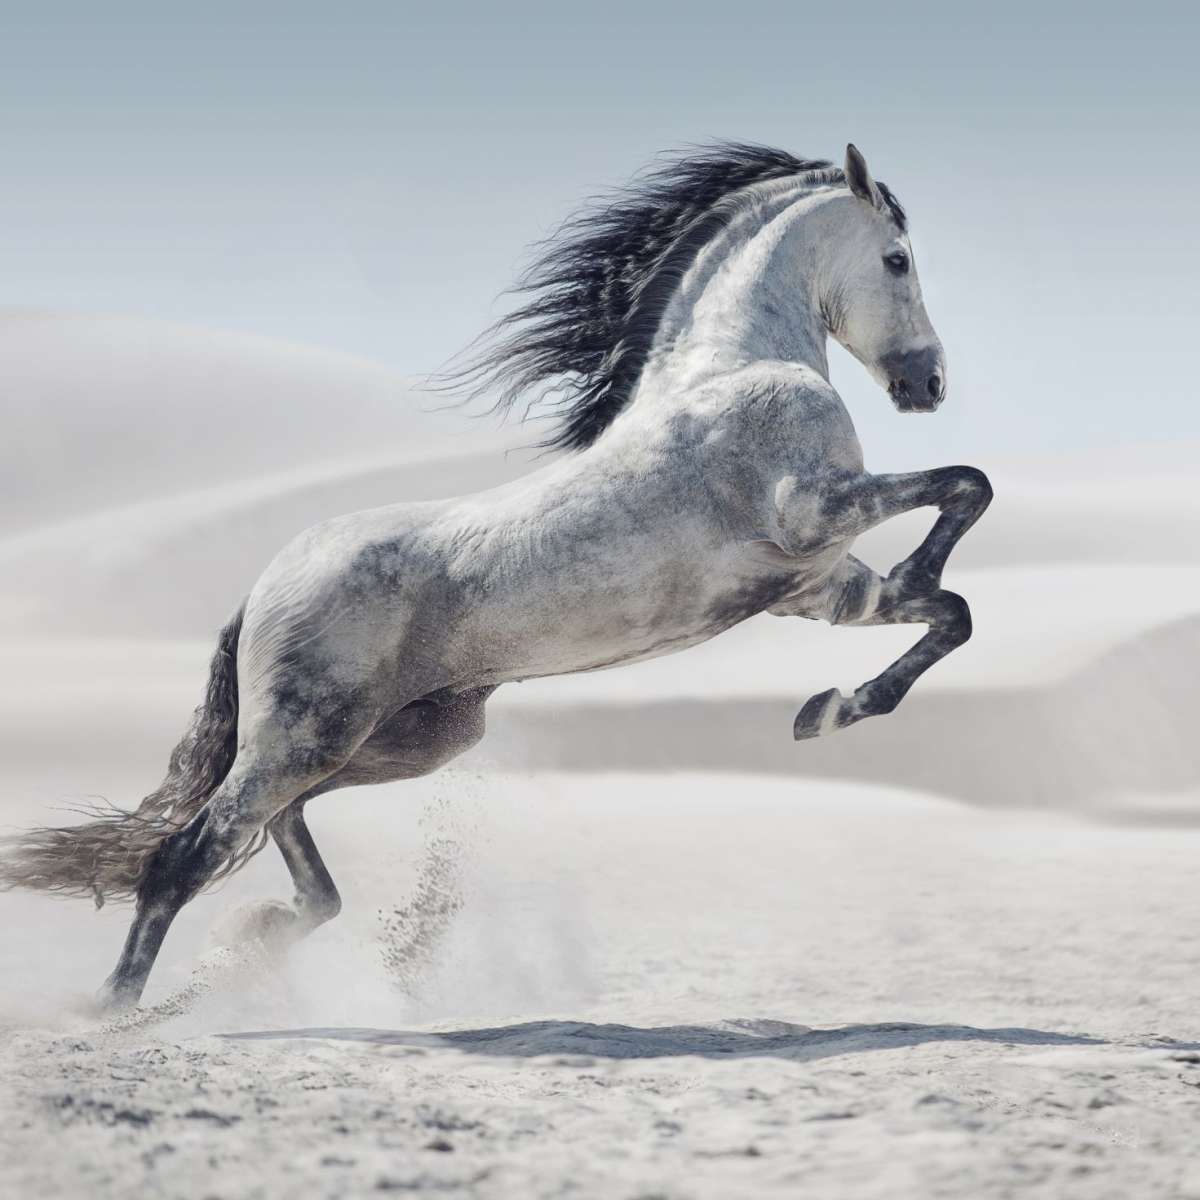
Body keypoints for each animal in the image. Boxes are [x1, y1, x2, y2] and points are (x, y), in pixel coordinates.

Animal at [1, 143, 992, 1010]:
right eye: (898, 258)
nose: (929, 385)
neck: (735, 367)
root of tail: (261, 589)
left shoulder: (819, 589)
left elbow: (950, 611)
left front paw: (829, 709)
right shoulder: (812, 512)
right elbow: (966, 487)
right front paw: (852, 673)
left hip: (400, 741)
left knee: (278, 833)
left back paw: (261, 936)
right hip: (308, 736)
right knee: (185, 854)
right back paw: (116, 1010)